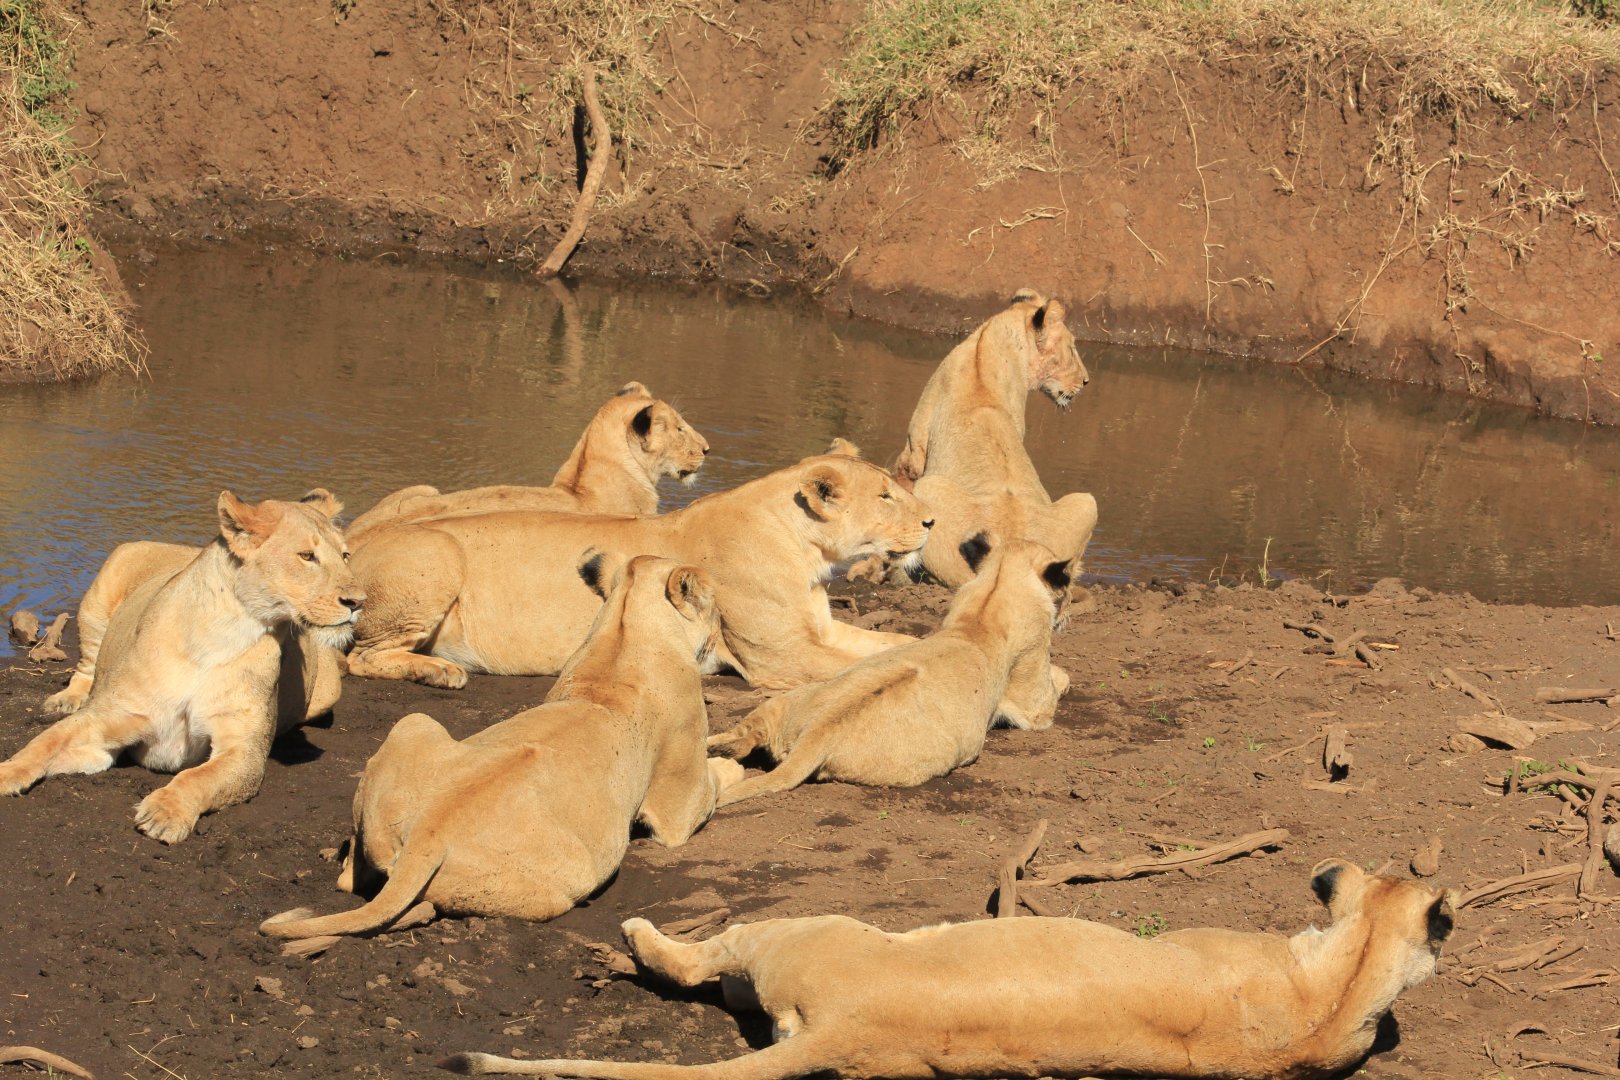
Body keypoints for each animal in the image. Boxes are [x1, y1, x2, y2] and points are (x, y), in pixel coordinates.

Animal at [2, 491, 363, 844]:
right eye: (307, 556)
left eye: (346, 556)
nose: (359, 602)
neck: (221, 634)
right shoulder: (111, 716)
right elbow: (44, 742)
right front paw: (7, 772)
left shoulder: (244, 751)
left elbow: (199, 777)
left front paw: (165, 813)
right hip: (106, 583)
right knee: (87, 665)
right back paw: (66, 700)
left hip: (327, 691)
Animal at [259, 554, 741, 953]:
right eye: (717, 611)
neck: (626, 630)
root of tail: (428, 837)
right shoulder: (677, 812)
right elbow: (713, 782)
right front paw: (732, 766)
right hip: (569, 880)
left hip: (414, 724)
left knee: (350, 880)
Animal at [345, 448, 932, 691]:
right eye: (885, 495)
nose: (931, 519)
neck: (808, 552)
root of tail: (350, 541)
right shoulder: (782, 657)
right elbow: (864, 664)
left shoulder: (820, 633)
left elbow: (894, 645)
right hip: (437, 554)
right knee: (359, 657)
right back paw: (439, 672)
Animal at [707, 538, 1074, 807]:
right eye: (1068, 586)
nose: (1070, 610)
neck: (995, 588)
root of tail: (816, 736)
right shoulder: (1034, 704)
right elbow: (1059, 680)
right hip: (916, 767)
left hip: (787, 701)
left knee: (746, 733)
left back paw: (714, 751)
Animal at [871, 289, 1097, 589]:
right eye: (1072, 348)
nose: (1085, 381)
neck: (986, 344)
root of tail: (1006, 555)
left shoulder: (914, 450)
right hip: (1087, 503)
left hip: (930, 487)